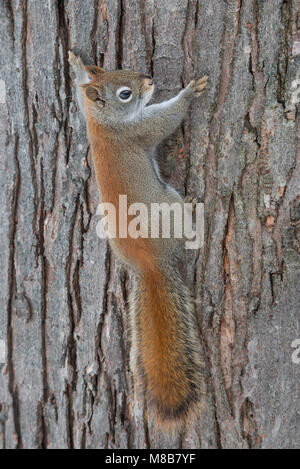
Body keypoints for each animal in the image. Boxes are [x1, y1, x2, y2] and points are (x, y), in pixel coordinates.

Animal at [69, 50, 207, 428]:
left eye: (120, 70)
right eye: (125, 94)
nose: (149, 80)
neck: (103, 124)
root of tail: (149, 264)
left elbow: (79, 93)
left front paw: (77, 67)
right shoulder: (138, 130)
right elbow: (165, 121)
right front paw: (189, 93)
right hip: (168, 207)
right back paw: (194, 208)